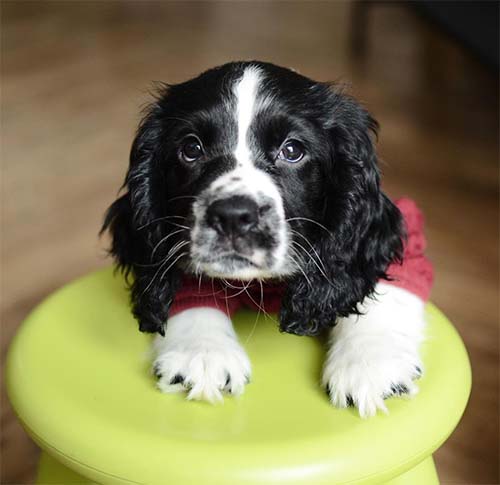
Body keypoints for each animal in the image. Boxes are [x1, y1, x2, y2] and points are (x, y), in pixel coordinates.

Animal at [102, 60, 434, 416]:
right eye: (191, 148)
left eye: (292, 150)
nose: (233, 216)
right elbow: (188, 288)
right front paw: (202, 352)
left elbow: (383, 285)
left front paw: (370, 362)